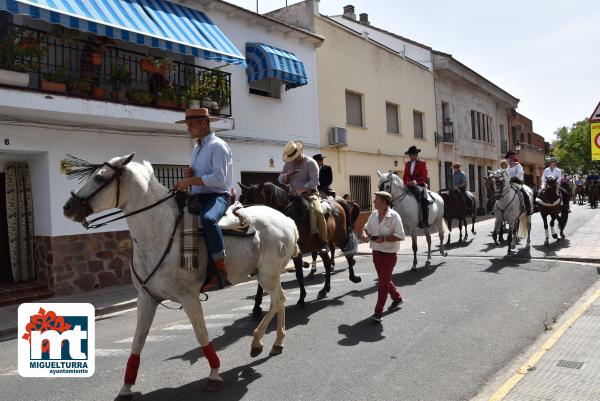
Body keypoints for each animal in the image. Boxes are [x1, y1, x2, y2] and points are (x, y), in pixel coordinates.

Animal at [62, 153, 298, 396]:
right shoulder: (146, 298)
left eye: (100, 178)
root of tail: (286, 220)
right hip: (264, 275)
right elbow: (137, 341)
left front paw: (214, 374)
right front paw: (126, 387)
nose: (68, 207)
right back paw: (273, 342)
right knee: (278, 301)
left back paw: (261, 342)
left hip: (267, 274)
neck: (161, 232)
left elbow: (202, 335)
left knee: (278, 300)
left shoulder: (189, 297)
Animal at [239, 181, 360, 316]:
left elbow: (299, 274)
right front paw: (256, 307)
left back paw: (353, 277)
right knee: (327, 263)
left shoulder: (295, 252)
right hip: (322, 245)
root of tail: (337, 202)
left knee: (347, 254)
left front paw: (301, 299)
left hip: (340, 237)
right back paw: (324, 289)